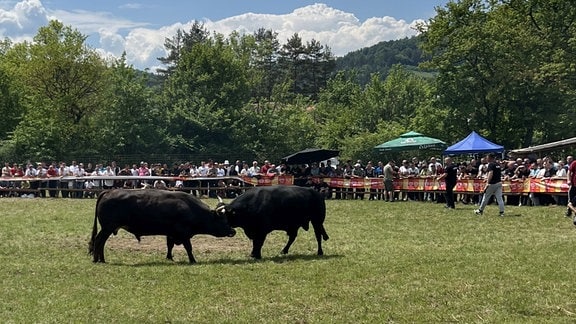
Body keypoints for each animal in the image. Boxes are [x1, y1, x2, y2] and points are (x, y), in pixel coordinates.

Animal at [88, 190, 236, 264]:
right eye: (223, 220)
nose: (233, 231)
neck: (189, 208)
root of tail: (108, 192)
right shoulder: (184, 234)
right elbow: (189, 248)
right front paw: (193, 260)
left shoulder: (171, 233)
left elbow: (169, 245)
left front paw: (169, 258)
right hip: (107, 228)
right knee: (99, 241)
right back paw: (98, 260)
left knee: (100, 242)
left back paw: (101, 259)